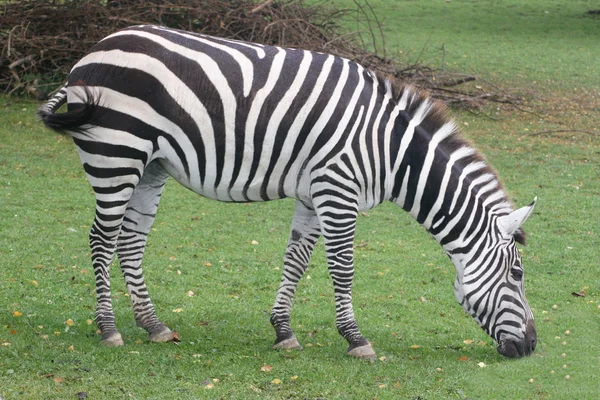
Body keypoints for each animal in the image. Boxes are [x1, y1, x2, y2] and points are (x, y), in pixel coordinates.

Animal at [39, 25, 536, 362]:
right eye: (517, 275)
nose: (532, 346)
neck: (389, 149)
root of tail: (92, 52)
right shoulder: (338, 190)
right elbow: (342, 268)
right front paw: (356, 339)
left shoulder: (314, 193)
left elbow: (295, 260)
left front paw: (283, 332)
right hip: (116, 154)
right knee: (101, 240)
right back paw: (109, 329)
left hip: (150, 166)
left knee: (130, 241)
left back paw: (153, 325)